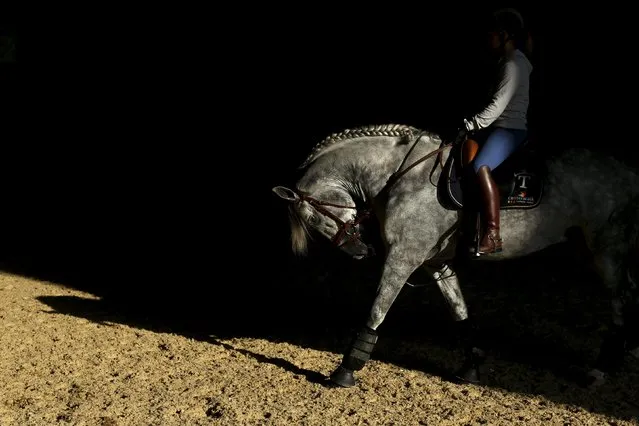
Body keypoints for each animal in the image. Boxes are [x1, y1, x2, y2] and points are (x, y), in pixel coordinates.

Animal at [272, 122, 639, 386]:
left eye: (311, 218)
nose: (359, 251)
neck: (399, 176)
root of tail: (628, 171)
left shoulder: (402, 258)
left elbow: (376, 311)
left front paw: (345, 371)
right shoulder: (437, 262)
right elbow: (459, 311)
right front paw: (472, 368)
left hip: (607, 249)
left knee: (622, 300)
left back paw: (601, 369)